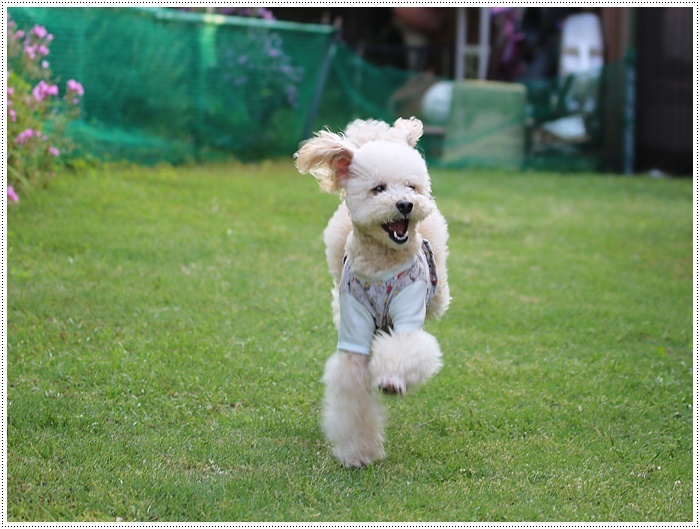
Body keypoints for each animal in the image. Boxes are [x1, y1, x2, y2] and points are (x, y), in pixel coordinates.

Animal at [294, 118, 448, 466]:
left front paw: (391, 381)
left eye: (411, 187)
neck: (380, 264)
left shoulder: (409, 306)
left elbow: (406, 347)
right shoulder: (354, 324)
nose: (405, 204)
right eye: (378, 189)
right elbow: (353, 389)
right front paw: (359, 452)